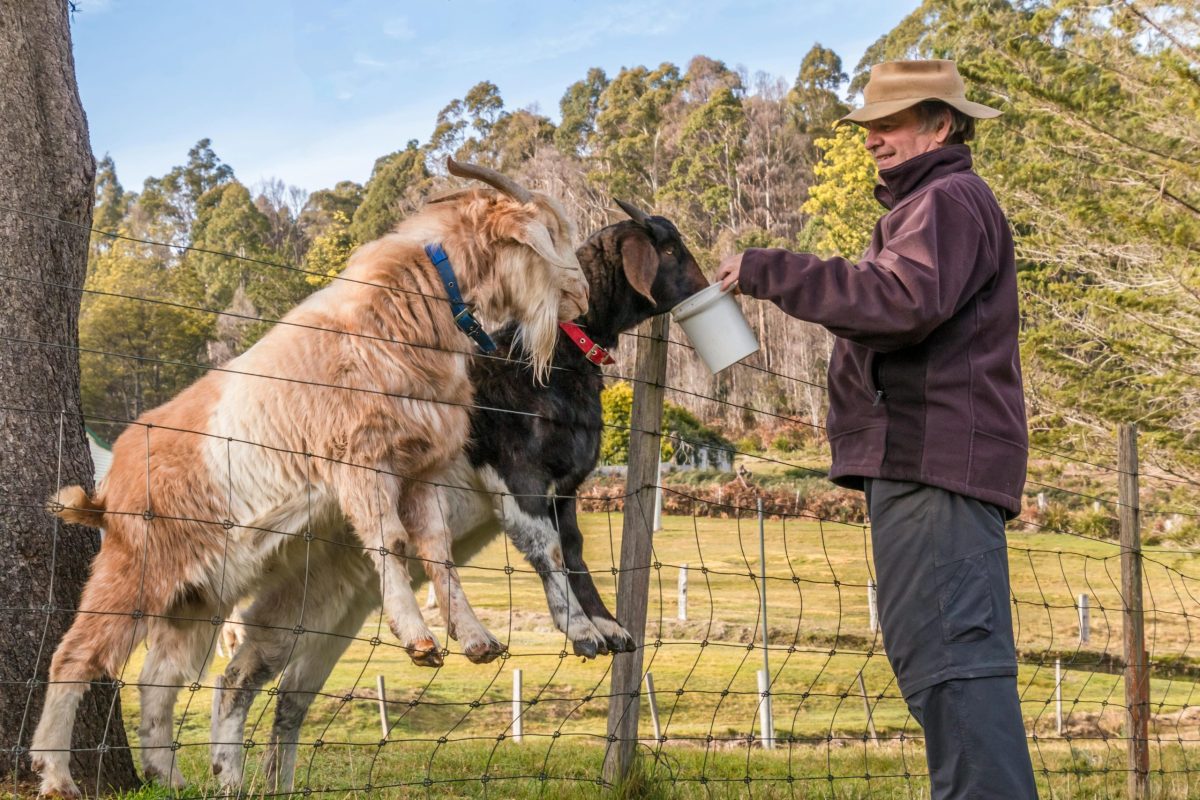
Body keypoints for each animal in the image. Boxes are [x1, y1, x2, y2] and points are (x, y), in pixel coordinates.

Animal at [30, 159, 588, 796]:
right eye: (551, 234)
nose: (580, 295)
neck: (407, 308)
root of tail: (109, 485)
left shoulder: (420, 467)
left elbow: (437, 551)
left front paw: (474, 639)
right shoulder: (360, 459)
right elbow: (391, 542)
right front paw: (417, 639)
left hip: (197, 595)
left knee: (159, 677)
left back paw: (168, 775)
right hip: (135, 567)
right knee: (75, 656)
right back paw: (56, 774)